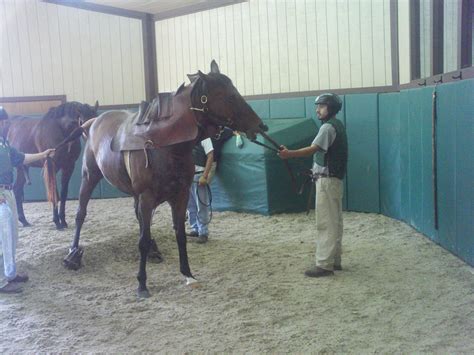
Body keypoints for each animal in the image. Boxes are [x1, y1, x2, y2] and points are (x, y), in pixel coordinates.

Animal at [62, 61, 266, 298]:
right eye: (228, 96)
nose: (261, 126)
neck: (164, 145)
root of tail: (95, 121)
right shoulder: (147, 197)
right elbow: (141, 240)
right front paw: (142, 284)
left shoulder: (180, 196)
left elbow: (179, 234)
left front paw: (188, 274)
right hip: (90, 177)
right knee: (81, 214)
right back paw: (73, 254)